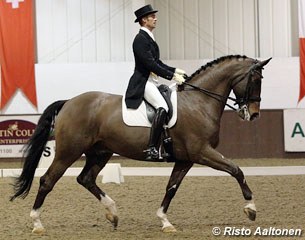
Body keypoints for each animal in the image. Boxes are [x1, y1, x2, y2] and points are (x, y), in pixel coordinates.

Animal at [10, 55, 270, 233]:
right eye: (256, 80)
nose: (254, 114)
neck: (199, 102)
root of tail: (69, 102)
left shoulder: (186, 159)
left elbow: (171, 187)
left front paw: (165, 221)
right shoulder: (202, 152)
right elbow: (236, 170)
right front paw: (251, 208)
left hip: (100, 152)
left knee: (85, 178)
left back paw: (113, 213)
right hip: (68, 152)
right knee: (47, 181)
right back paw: (37, 223)